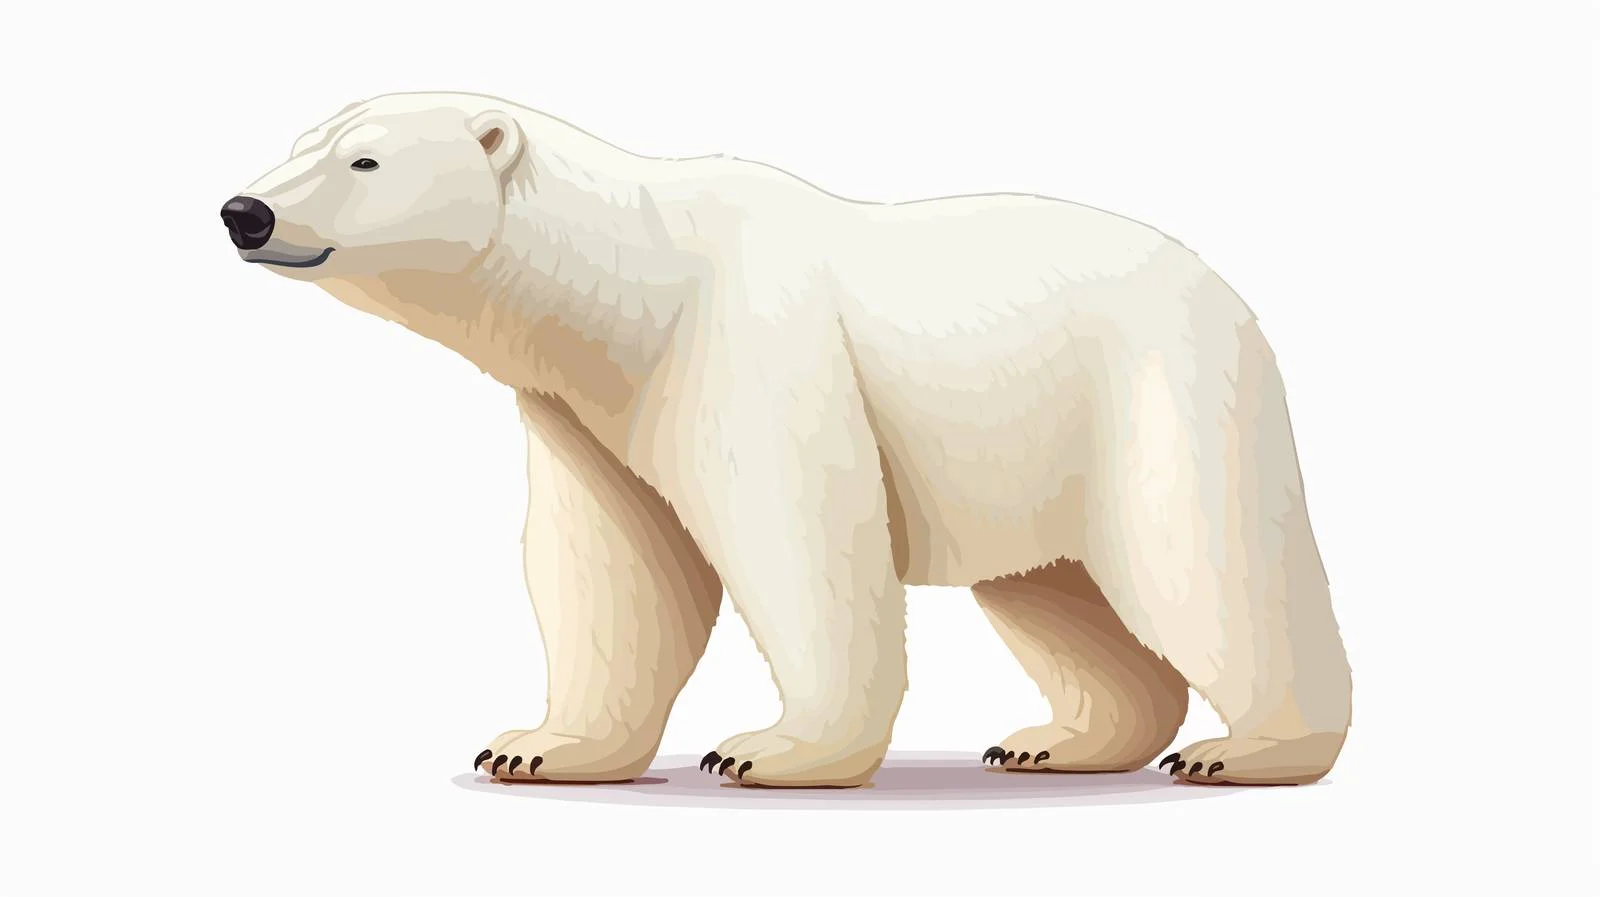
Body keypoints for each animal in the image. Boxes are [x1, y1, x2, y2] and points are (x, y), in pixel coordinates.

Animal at [221, 91, 1352, 788]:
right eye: (299, 141)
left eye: (365, 159)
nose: (245, 209)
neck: (629, 290)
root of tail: (1229, 291)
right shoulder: (588, 409)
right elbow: (612, 570)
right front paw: (538, 746)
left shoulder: (747, 348)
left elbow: (794, 543)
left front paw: (765, 751)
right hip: (1025, 450)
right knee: (1050, 587)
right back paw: (1055, 740)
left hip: (1159, 387)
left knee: (1201, 560)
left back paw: (1242, 750)